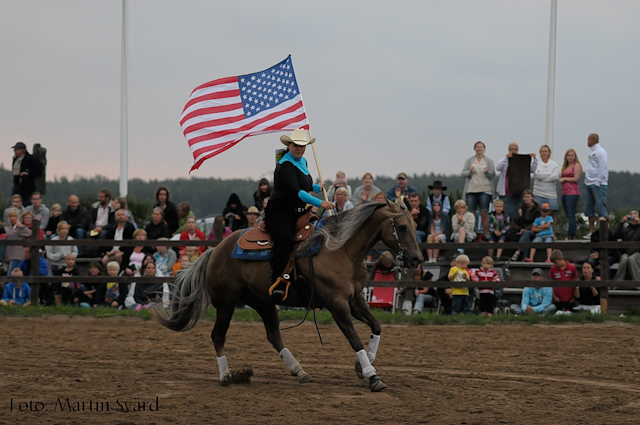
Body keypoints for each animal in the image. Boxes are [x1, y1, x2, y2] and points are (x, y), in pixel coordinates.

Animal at [156, 199, 424, 390]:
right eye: (401, 227)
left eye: (415, 226)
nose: (417, 259)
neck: (339, 248)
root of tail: (215, 250)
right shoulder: (337, 304)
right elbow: (354, 339)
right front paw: (372, 376)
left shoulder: (356, 299)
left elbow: (376, 326)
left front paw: (363, 364)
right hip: (226, 303)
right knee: (218, 336)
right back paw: (226, 376)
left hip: (263, 302)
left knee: (274, 335)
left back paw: (299, 370)